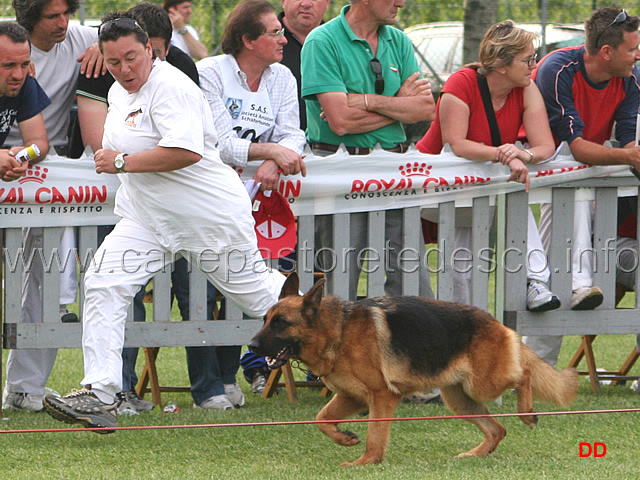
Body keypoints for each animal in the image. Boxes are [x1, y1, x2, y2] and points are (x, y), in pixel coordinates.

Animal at [250, 274, 580, 464]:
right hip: (460, 400)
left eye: (281, 323)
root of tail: (497, 324)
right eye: (265, 320)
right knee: (497, 429)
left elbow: (374, 435)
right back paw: (475, 455)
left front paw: (366, 462)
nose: (252, 346)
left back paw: (527, 413)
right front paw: (345, 438)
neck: (337, 331)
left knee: (524, 375)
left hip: (483, 384)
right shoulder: (350, 397)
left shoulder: (381, 396)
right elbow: (321, 419)